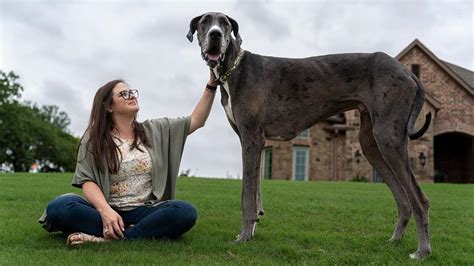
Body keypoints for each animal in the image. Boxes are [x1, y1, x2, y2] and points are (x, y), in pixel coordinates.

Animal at [187, 12, 432, 260]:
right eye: (205, 22)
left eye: (225, 23)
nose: (215, 35)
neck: (233, 69)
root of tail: (408, 72)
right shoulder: (254, 142)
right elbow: (255, 192)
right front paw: (252, 230)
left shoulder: (251, 139)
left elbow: (247, 194)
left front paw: (244, 237)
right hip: (371, 144)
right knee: (403, 200)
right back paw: (394, 241)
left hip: (388, 138)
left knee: (419, 199)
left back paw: (422, 251)